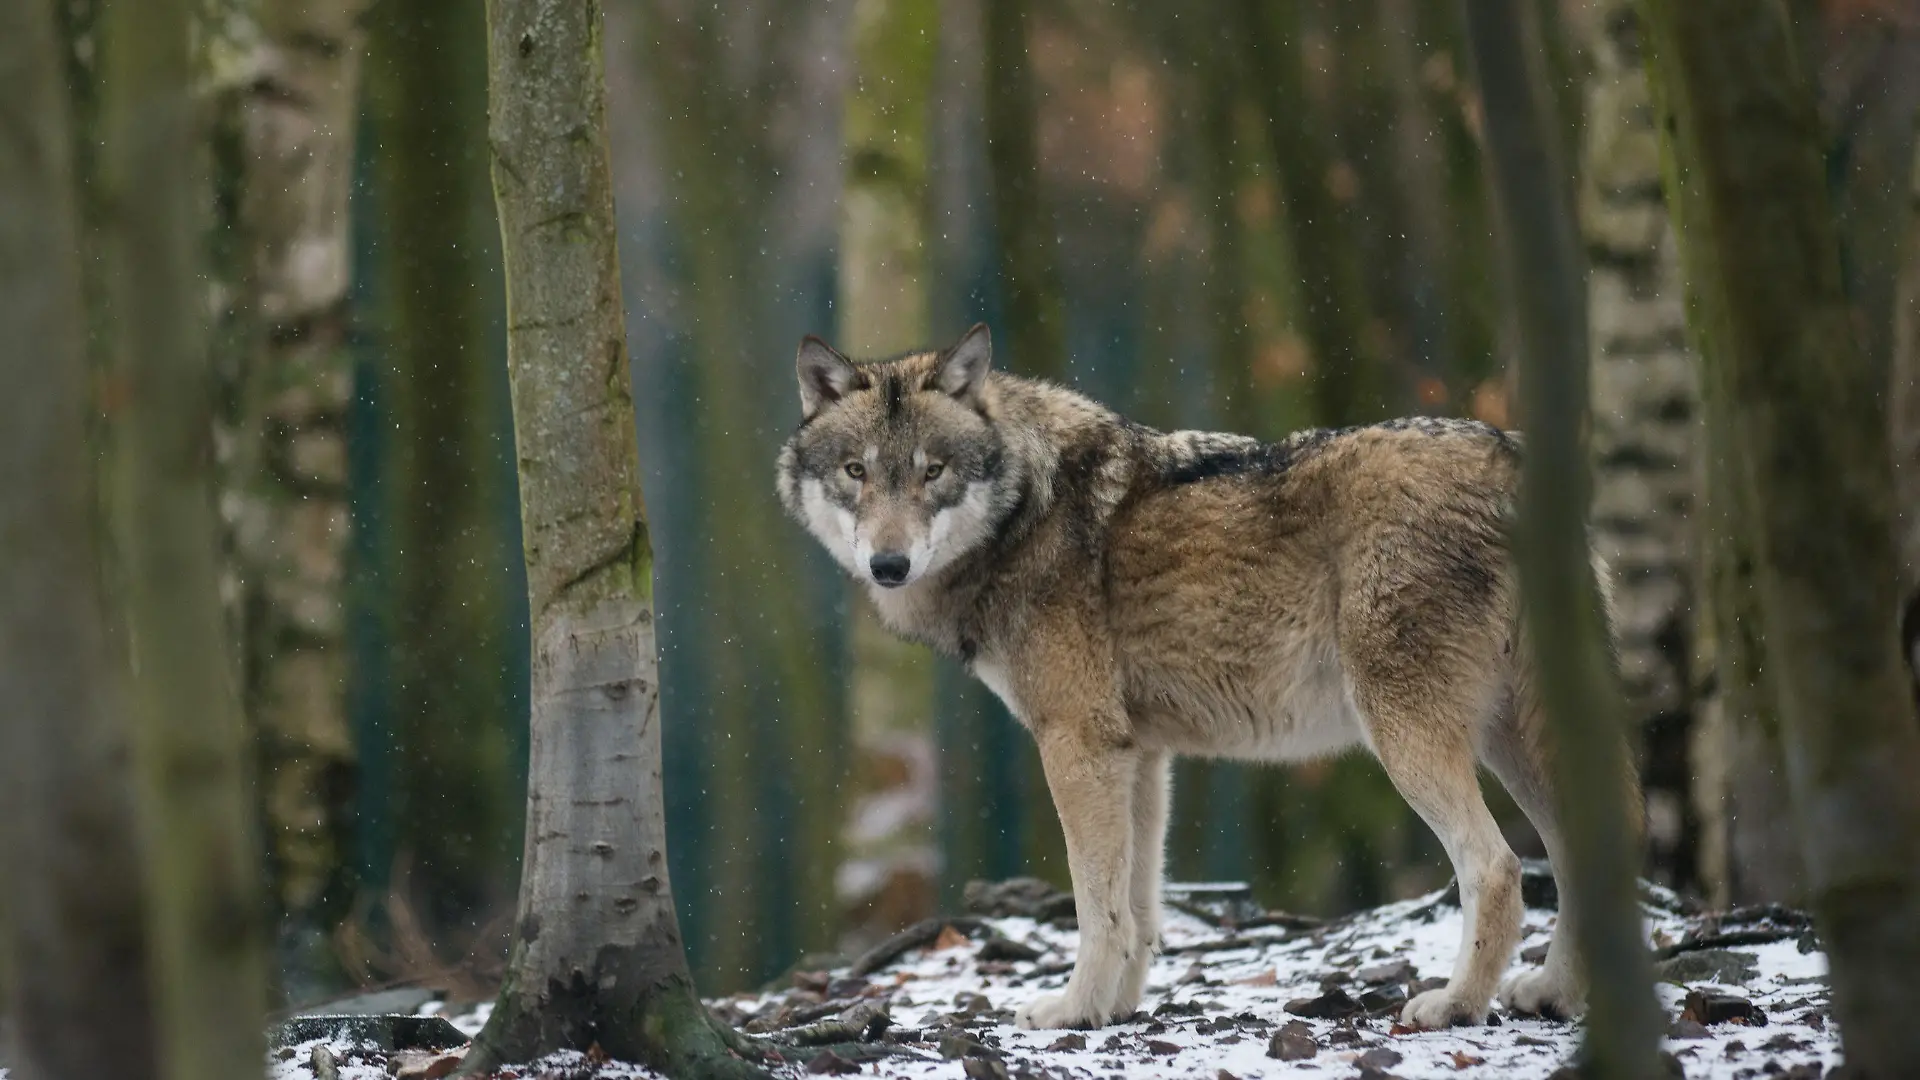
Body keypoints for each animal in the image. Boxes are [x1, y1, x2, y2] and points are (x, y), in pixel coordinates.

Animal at [775, 323, 1641, 1031]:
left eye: (933, 473)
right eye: (855, 472)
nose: (888, 564)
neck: (1025, 512)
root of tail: (1512, 461)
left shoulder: (1077, 743)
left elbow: (1096, 905)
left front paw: (1071, 1011)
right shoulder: (1140, 756)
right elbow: (1138, 908)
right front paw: (1116, 1010)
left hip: (1407, 736)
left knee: (1495, 868)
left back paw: (1456, 1005)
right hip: (1513, 738)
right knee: (1584, 853)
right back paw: (1554, 993)